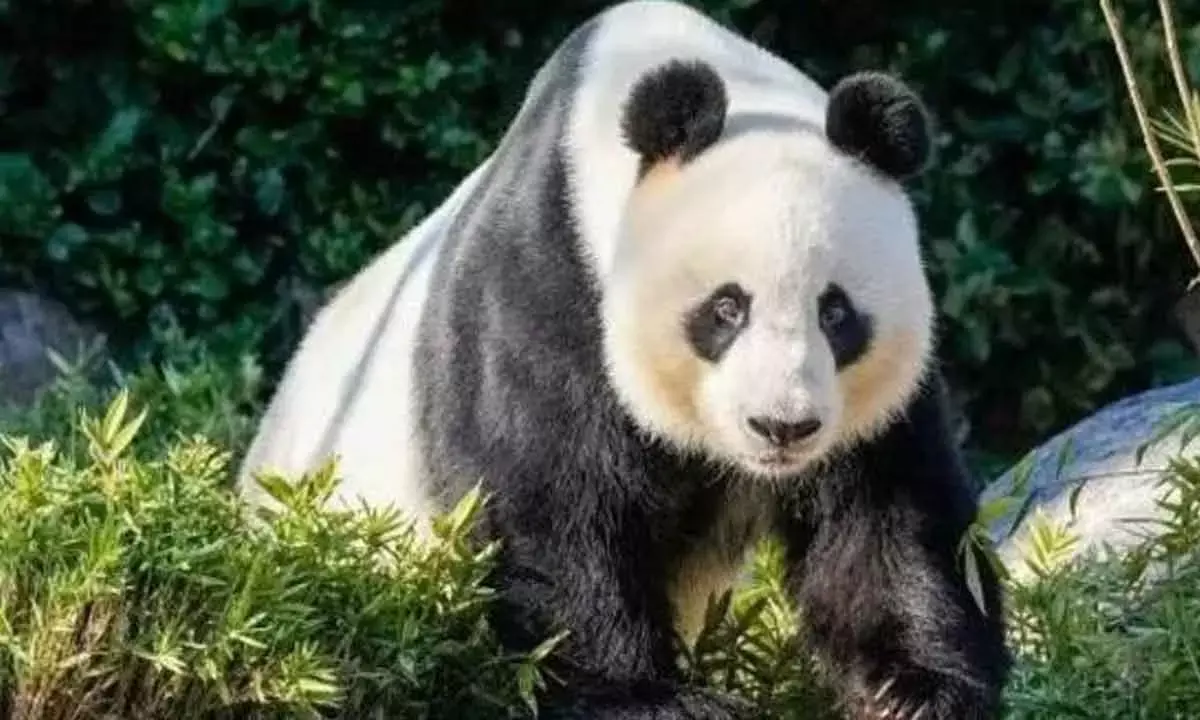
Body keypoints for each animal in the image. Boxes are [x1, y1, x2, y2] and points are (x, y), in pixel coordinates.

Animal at [236, 1, 1011, 718]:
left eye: (837, 313)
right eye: (726, 309)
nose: (782, 427)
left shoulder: (874, 404)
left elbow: (887, 518)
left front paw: (911, 691)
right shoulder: (548, 281)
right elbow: (550, 509)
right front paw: (645, 696)